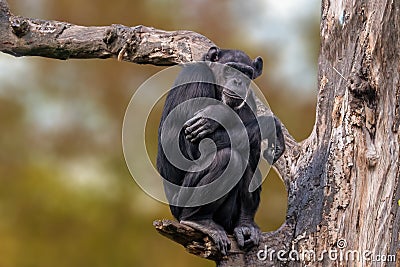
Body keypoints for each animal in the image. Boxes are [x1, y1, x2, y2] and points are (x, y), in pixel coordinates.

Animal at [156, 46, 284, 255]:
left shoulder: (249, 99)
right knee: (227, 157)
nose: (238, 81)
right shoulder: (196, 78)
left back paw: (245, 224)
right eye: (231, 69)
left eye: (246, 73)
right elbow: (196, 146)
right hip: (180, 205)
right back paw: (198, 220)